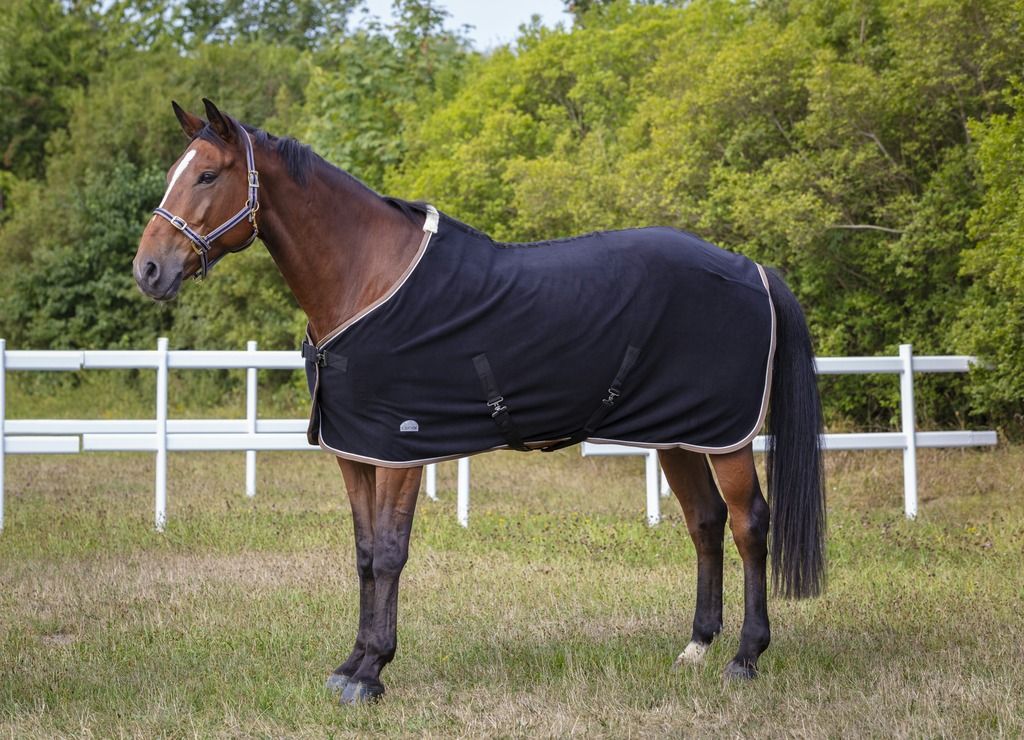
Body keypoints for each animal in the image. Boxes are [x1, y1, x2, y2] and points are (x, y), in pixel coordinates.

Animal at [133, 99, 826, 705]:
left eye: (207, 174)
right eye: (175, 173)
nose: (148, 270)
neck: (368, 280)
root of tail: (751, 267)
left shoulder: (400, 451)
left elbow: (391, 553)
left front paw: (372, 673)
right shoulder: (354, 452)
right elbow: (363, 555)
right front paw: (349, 664)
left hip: (726, 436)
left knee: (748, 524)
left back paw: (745, 657)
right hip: (679, 433)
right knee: (705, 521)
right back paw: (696, 648)